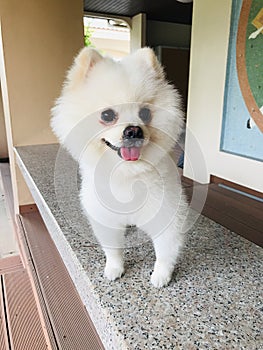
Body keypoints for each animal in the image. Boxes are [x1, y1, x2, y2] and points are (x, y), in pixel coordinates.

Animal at [51, 46, 188, 288]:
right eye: (107, 115)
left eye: (145, 113)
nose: (134, 130)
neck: (127, 174)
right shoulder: (105, 218)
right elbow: (113, 249)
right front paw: (114, 268)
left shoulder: (167, 213)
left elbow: (165, 249)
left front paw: (161, 275)